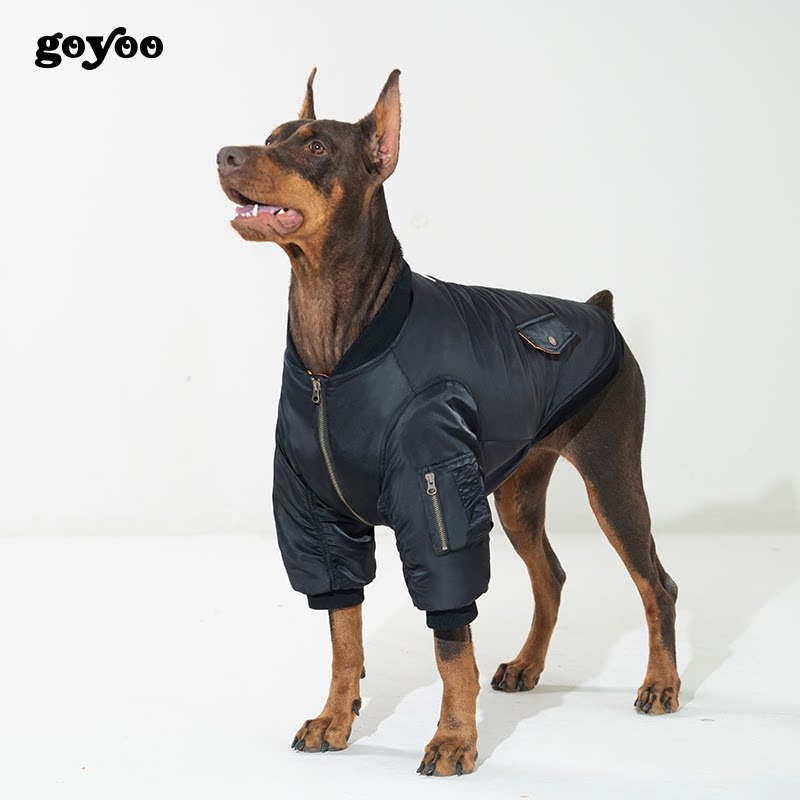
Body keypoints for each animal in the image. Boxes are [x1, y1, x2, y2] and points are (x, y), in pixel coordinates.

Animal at [217, 69, 680, 777]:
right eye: (271, 137)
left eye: (316, 147)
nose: (224, 156)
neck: (337, 353)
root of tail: (597, 309)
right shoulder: (319, 513)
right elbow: (342, 632)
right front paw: (334, 719)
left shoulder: (436, 503)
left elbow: (450, 640)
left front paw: (455, 739)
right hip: (518, 493)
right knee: (551, 575)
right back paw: (526, 667)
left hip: (612, 477)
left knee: (657, 583)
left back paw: (661, 683)